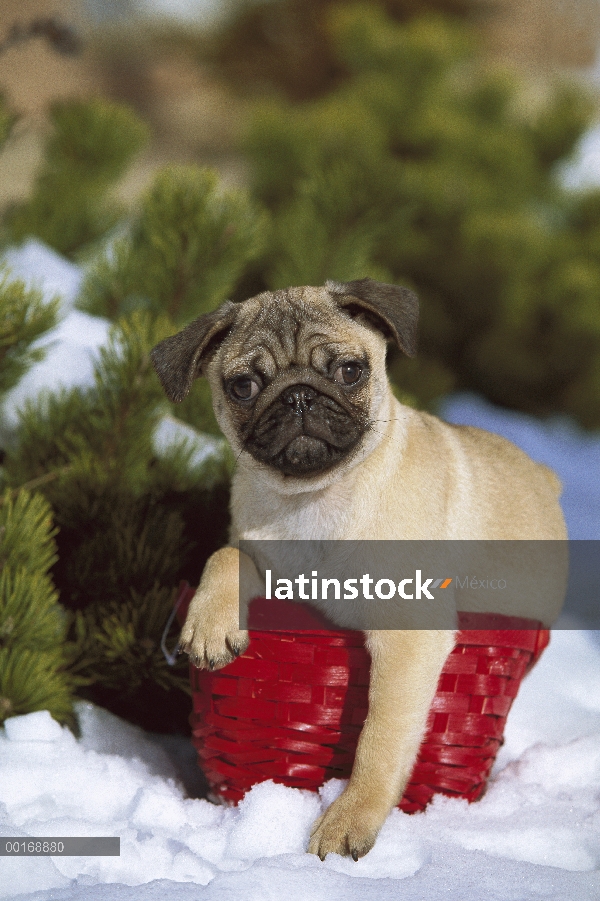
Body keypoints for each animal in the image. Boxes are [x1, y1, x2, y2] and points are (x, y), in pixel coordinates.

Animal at [151, 280, 568, 856]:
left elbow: (380, 738)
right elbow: (226, 556)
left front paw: (350, 818)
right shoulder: (268, 561)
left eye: (350, 371)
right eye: (243, 386)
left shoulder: (408, 636)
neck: (315, 501)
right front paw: (212, 623)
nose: (298, 395)